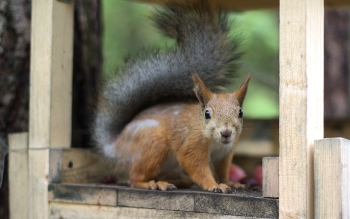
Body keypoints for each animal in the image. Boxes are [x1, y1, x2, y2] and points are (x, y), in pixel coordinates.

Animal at [93, 1, 252, 193]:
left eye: (240, 113)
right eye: (207, 114)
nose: (226, 132)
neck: (216, 142)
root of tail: (116, 146)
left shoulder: (225, 153)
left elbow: (223, 170)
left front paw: (231, 182)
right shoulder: (191, 145)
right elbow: (196, 166)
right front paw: (214, 185)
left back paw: (177, 181)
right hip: (153, 143)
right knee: (135, 178)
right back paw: (153, 184)